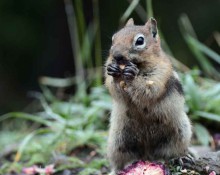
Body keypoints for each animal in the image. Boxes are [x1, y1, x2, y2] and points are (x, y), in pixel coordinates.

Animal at [104, 17, 192, 174]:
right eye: (114, 38)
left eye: (140, 41)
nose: (117, 56)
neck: (138, 65)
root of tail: (147, 154)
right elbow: (114, 89)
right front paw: (115, 72)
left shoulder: (159, 74)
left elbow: (150, 90)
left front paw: (132, 76)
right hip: (118, 142)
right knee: (120, 161)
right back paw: (119, 169)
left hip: (180, 133)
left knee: (171, 152)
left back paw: (179, 158)